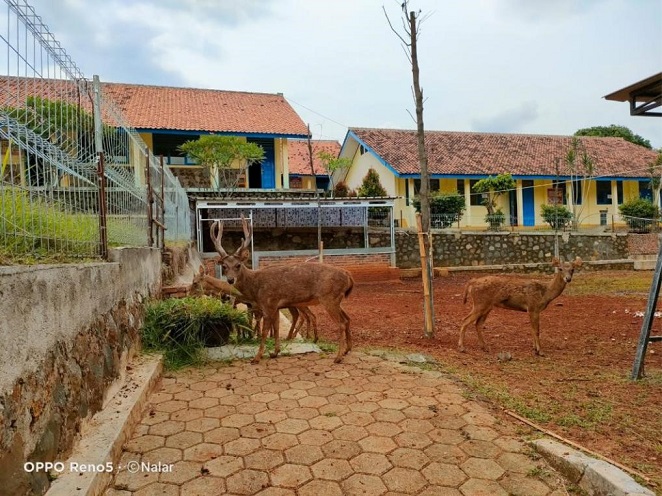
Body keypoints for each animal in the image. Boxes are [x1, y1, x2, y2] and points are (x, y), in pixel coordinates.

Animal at [209, 216, 353, 364]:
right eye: (224, 266)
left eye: (238, 265)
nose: (230, 280)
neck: (255, 287)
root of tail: (348, 276)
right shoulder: (275, 306)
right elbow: (277, 328)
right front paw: (275, 352)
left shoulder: (268, 303)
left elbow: (265, 331)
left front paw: (257, 357)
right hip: (336, 299)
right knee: (347, 319)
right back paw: (347, 350)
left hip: (329, 297)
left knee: (341, 323)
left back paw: (338, 357)